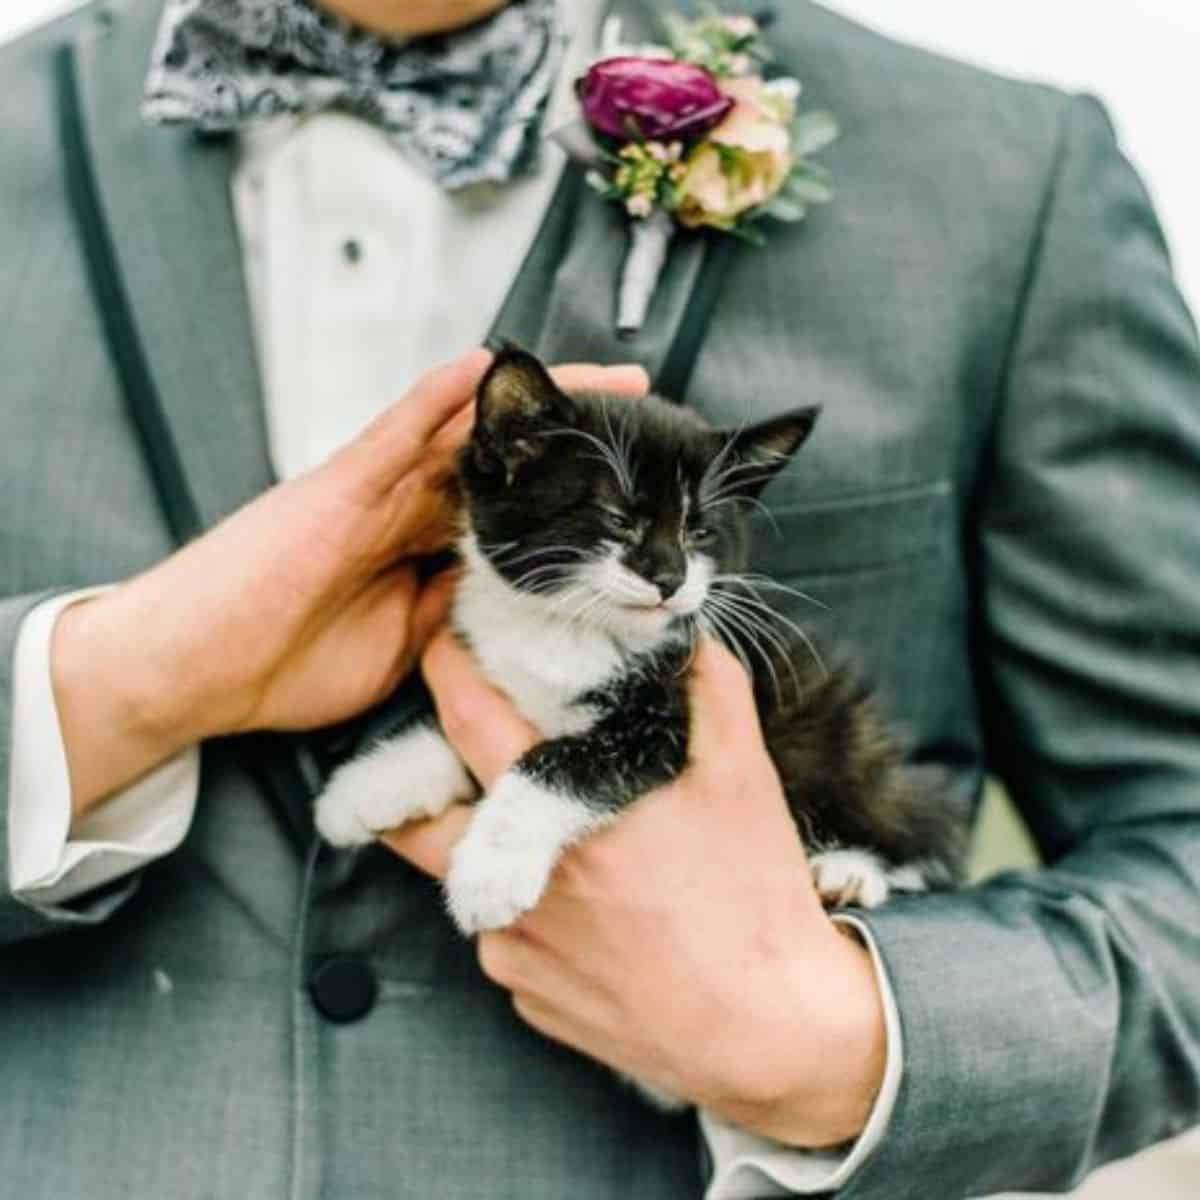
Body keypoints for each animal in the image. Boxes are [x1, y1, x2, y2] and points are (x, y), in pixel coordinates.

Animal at [314, 348, 960, 936]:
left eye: (699, 532)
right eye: (618, 517)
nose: (669, 578)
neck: (565, 628)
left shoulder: (662, 719)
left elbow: (558, 760)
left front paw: (489, 874)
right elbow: (453, 733)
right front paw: (365, 787)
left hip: (833, 729)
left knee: (921, 828)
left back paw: (849, 870)